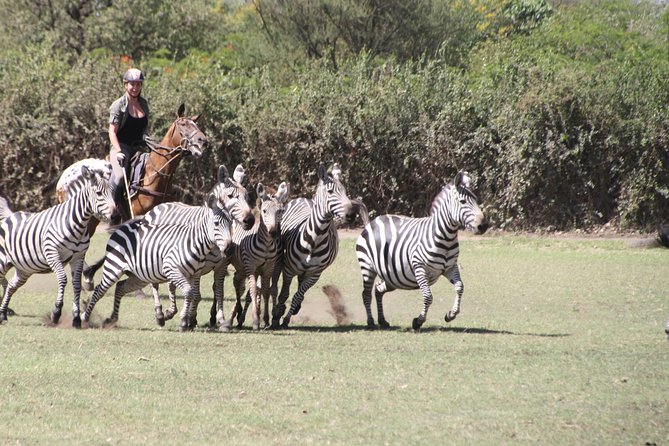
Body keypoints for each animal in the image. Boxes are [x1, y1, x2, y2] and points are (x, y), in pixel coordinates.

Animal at [0, 166, 115, 328]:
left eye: (113, 192)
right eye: (99, 193)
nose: (116, 216)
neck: (77, 224)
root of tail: (9, 217)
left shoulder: (79, 257)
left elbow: (76, 284)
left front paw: (76, 319)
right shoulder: (52, 253)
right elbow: (62, 279)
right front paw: (56, 313)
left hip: (24, 269)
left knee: (11, 285)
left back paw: (3, 314)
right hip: (3, 262)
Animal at [81, 195, 233, 331]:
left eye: (231, 224)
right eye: (216, 224)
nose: (229, 248)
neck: (195, 243)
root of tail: (123, 227)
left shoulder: (195, 274)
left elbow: (193, 294)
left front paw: (187, 320)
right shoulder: (171, 268)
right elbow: (189, 292)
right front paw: (184, 322)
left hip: (139, 277)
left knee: (120, 287)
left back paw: (112, 319)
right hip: (113, 268)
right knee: (99, 290)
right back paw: (84, 318)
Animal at [225, 181, 290, 330]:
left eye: (280, 211)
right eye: (264, 211)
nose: (273, 232)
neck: (266, 245)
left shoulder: (268, 268)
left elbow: (266, 291)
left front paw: (265, 320)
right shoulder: (251, 266)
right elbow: (254, 291)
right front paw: (256, 321)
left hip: (243, 269)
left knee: (238, 284)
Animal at [271, 164, 356, 329]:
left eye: (345, 192)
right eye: (330, 192)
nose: (351, 215)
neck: (314, 239)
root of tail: (304, 199)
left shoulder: (315, 274)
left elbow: (297, 295)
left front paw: (286, 319)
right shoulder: (288, 269)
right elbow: (284, 294)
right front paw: (277, 316)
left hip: (306, 272)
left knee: (300, 289)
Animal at [355, 171, 488, 330]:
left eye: (476, 200)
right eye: (463, 202)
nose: (484, 225)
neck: (446, 237)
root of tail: (372, 222)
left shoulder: (450, 267)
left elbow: (460, 287)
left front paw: (451, 314)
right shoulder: (419, 267)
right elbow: (428, 297)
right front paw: (418, 321)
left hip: (392, 278)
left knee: (378, 290)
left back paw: (382, 321)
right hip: (368, 267)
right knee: (366, 294)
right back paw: (370, 322)